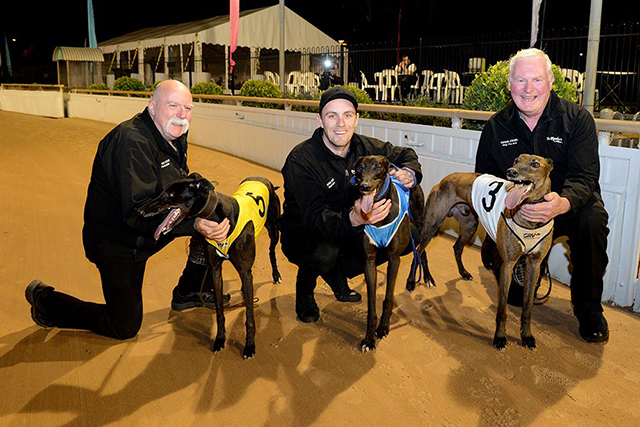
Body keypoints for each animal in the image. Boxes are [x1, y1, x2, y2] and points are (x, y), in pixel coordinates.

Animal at [138, 172, 280, 360]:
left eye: (170, 194)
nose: (139, 211)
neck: (218, 218)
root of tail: (262, 178)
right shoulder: (215, 270)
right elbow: (219, 310)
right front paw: (220, 340)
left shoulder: (245, 270)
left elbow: (249, 316)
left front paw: (249, 346)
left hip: (274, 230)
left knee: (271, 252)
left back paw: (276, 275)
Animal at [352, 155, 422, 352]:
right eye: (359, 168)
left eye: (377, 167)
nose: (365, 186)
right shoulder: (369, 260)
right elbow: (371, 304)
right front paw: (369, 339)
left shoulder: (394, 259)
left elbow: (388, 297)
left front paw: (383, 328)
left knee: (421, 252)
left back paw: (417, 280)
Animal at [416, 155, 556, 350]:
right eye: (516, 160)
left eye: (535, 164)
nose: (511, 172)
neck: (529, 220)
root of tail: (445, 179)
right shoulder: (507, 265)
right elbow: (502, 310)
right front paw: (500, 337)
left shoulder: (534, 265)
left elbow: (527, 307)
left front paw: (527, 336)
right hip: (432, 225)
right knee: (420, 250)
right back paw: (427, 278)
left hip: (469, 226)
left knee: (457, 247)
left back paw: (463, 272)